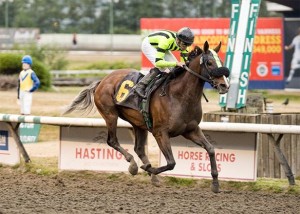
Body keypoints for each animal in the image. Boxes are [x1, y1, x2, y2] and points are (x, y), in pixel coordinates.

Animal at [63, 41, 230, 193]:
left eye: (221, 62)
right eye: (209, 63)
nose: (225, 86)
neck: (180, 96)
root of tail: (102, 81)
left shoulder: (191, 130)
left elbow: (211, 149)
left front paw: (215, 184)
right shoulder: (160, 132)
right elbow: (171, 163)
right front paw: (149, 169)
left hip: (139, 123)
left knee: (139, 149)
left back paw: (150, 175)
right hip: (110, 115)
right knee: (112, 141)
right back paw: (133, 165)